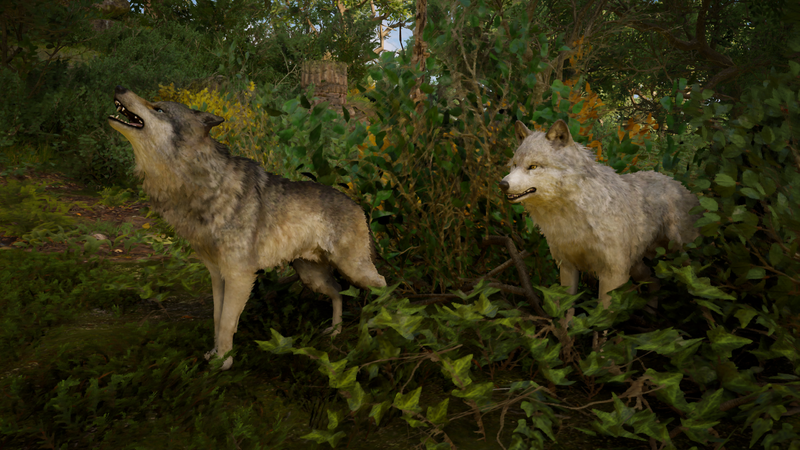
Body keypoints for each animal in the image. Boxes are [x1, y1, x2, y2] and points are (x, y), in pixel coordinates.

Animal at [108, 86, 386, 370]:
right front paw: (214, 355)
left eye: (158, 108)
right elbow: (217, 318)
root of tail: (359, 206)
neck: (201, 185)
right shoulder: (217, 275)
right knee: (339, 292)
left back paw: (385, 321)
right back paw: (335, 331)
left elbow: (227, 323)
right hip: (313, 277)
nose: (119, 88)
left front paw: (223, 363)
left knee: (383, 284)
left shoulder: (239, 276)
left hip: (354, 269)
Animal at [499, 120, 700, 308]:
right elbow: (566, 313)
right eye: (514, 165)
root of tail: (678, 184)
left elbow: (601, 316)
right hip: (636, 266)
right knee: (655, 280)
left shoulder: (613, 273)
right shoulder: (568, 267)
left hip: (678, 254)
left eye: (533, 166)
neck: (572, 216)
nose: (502, 184)